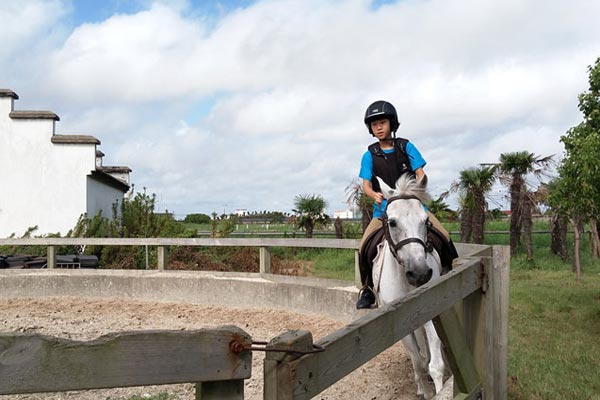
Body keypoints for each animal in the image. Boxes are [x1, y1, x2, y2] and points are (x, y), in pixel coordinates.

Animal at [376, 175, 446, 400]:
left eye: (425, 221)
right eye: (392, 222)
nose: (420, 273)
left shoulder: (432, 314)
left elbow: (435, 364)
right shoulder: (402, 327)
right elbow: (418, 360)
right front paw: (425, 390)